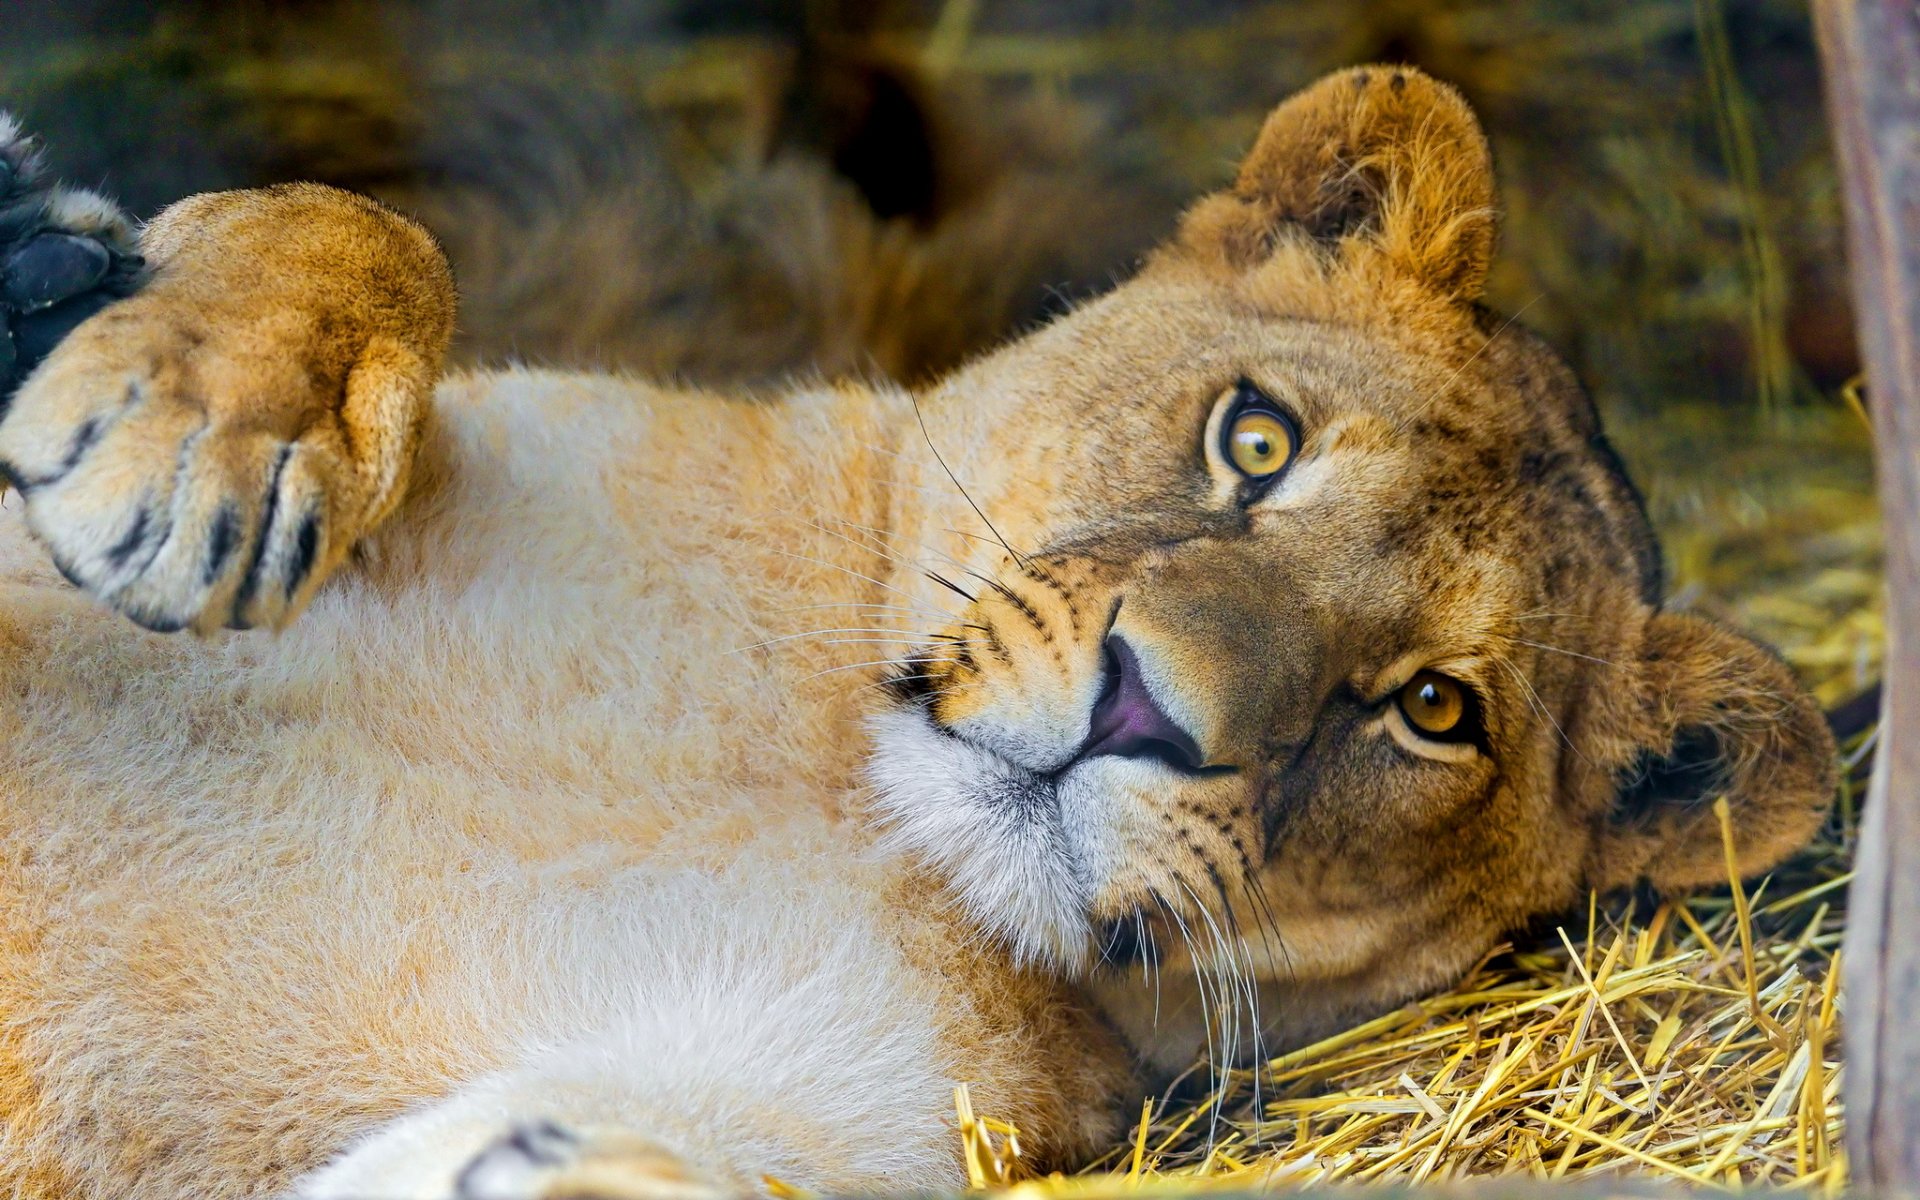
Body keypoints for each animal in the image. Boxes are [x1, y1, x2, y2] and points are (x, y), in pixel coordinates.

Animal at [0, 66, 1834, 1200]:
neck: (830, 788)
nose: (1143, 713)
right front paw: (184, 420)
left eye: (1437, 711)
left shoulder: (856, 1098)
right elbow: (368, 229)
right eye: (1257, 442)